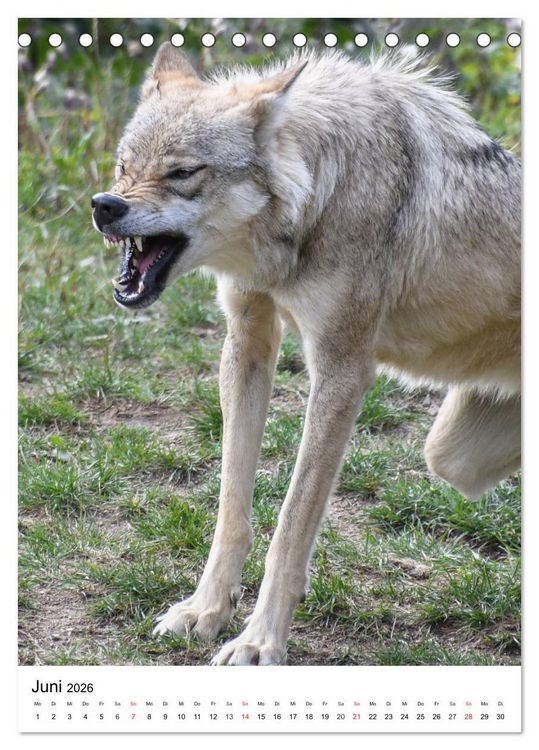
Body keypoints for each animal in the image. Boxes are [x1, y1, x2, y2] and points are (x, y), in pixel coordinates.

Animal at [91, 42, 521, 665]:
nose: (105, 206)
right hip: (453, 455)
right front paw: (206, 610)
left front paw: (258, 642)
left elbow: (292, 526)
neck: (317, 197)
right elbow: (231, 508)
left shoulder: (343, 371)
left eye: (182, 172)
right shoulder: (246, 343)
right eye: (124, 166)